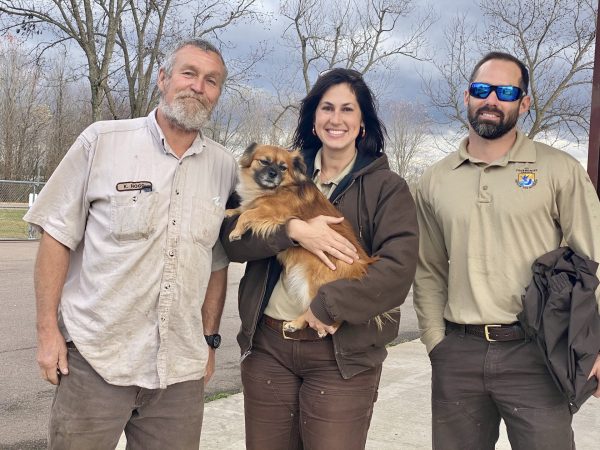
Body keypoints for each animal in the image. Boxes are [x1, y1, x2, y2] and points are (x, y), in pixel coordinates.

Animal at [225, 142, 376, 332]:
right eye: (264, 162)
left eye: (283, 168)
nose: (273, 173)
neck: (274, 189)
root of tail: (361, 265)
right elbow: (242, 209)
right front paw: (229, 212)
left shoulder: (271, 211)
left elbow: (247, 214)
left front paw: (236, 232)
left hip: (313, 283)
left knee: (321, 313)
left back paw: (296, 324)